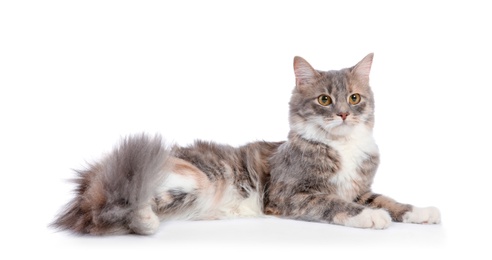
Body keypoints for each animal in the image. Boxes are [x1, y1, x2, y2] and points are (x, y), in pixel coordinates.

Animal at [52, 53, 442, 235]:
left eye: (355, 98)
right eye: (325, 100)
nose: (344, 114)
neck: (341, 147)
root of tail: (96, 176)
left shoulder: (361, 189)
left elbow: (391, 200)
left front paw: (422, 212)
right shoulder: (291, 195)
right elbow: (334, 204)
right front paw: (371, 218)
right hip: (192, 177)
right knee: (111, 210)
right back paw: (145, 220)